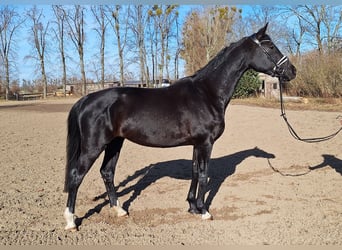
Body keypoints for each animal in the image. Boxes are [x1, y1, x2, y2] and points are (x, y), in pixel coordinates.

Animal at [64, 23, 296, 230]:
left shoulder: (197, 144)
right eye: (271, 47)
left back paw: (119, 210)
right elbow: (203, 174)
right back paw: (71, 221)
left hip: (115, 143)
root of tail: (86, 99)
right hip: (94, 146)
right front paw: (204, 211)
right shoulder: (206, 143)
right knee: (76, 175)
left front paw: (192, 206)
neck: (207, 93)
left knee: (107, 172)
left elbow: (194, 171)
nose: (292, 71)